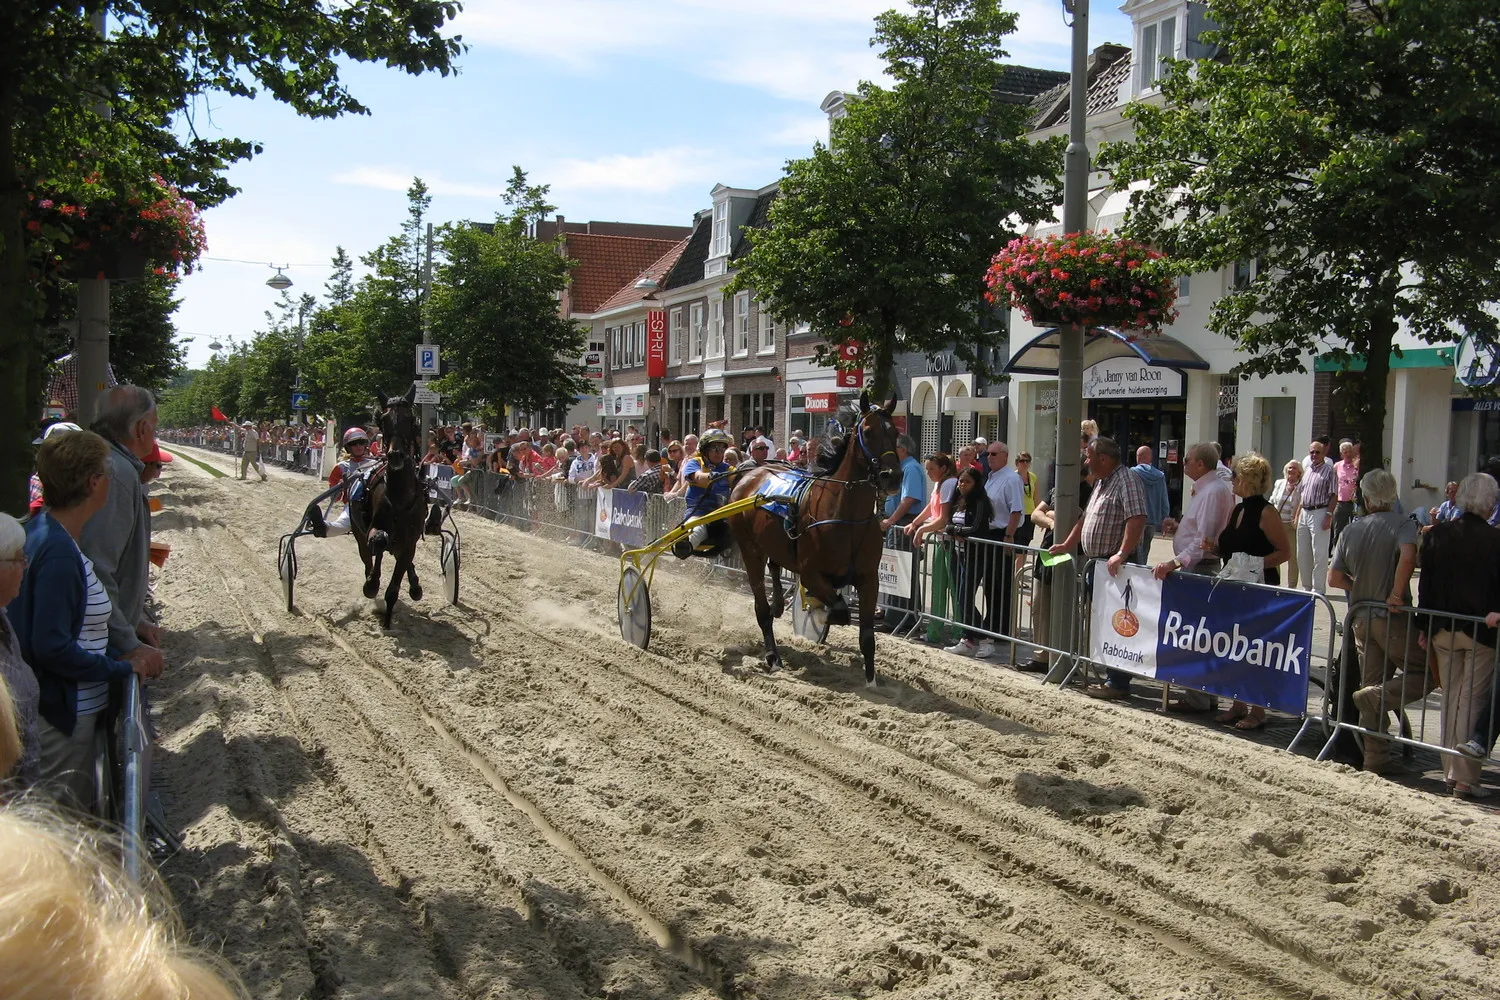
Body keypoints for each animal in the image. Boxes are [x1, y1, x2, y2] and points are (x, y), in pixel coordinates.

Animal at [348, 386, 426, 629]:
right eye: (383, 420)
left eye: (411, 419)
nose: (395, 455)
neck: (399, 499)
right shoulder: (374, 530)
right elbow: (378, 542)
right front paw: (371, 584)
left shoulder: (410, 541)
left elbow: (395, 583)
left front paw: (388, 619)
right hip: (358, 531)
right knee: (369, 556)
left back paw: (415, 585)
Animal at [729, 395, 900, 683]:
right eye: (868, 432)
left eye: (896, 433)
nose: (893, 476)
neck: (845, 517)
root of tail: (750, 474)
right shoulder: (811, 573)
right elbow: (839, 610)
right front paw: (822, 613)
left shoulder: (869, 578)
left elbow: (867, 636)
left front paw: (871, 681)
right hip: (749, 549)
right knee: (761, 608)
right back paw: (774, 657)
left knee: (775, 567)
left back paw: (778, 603)